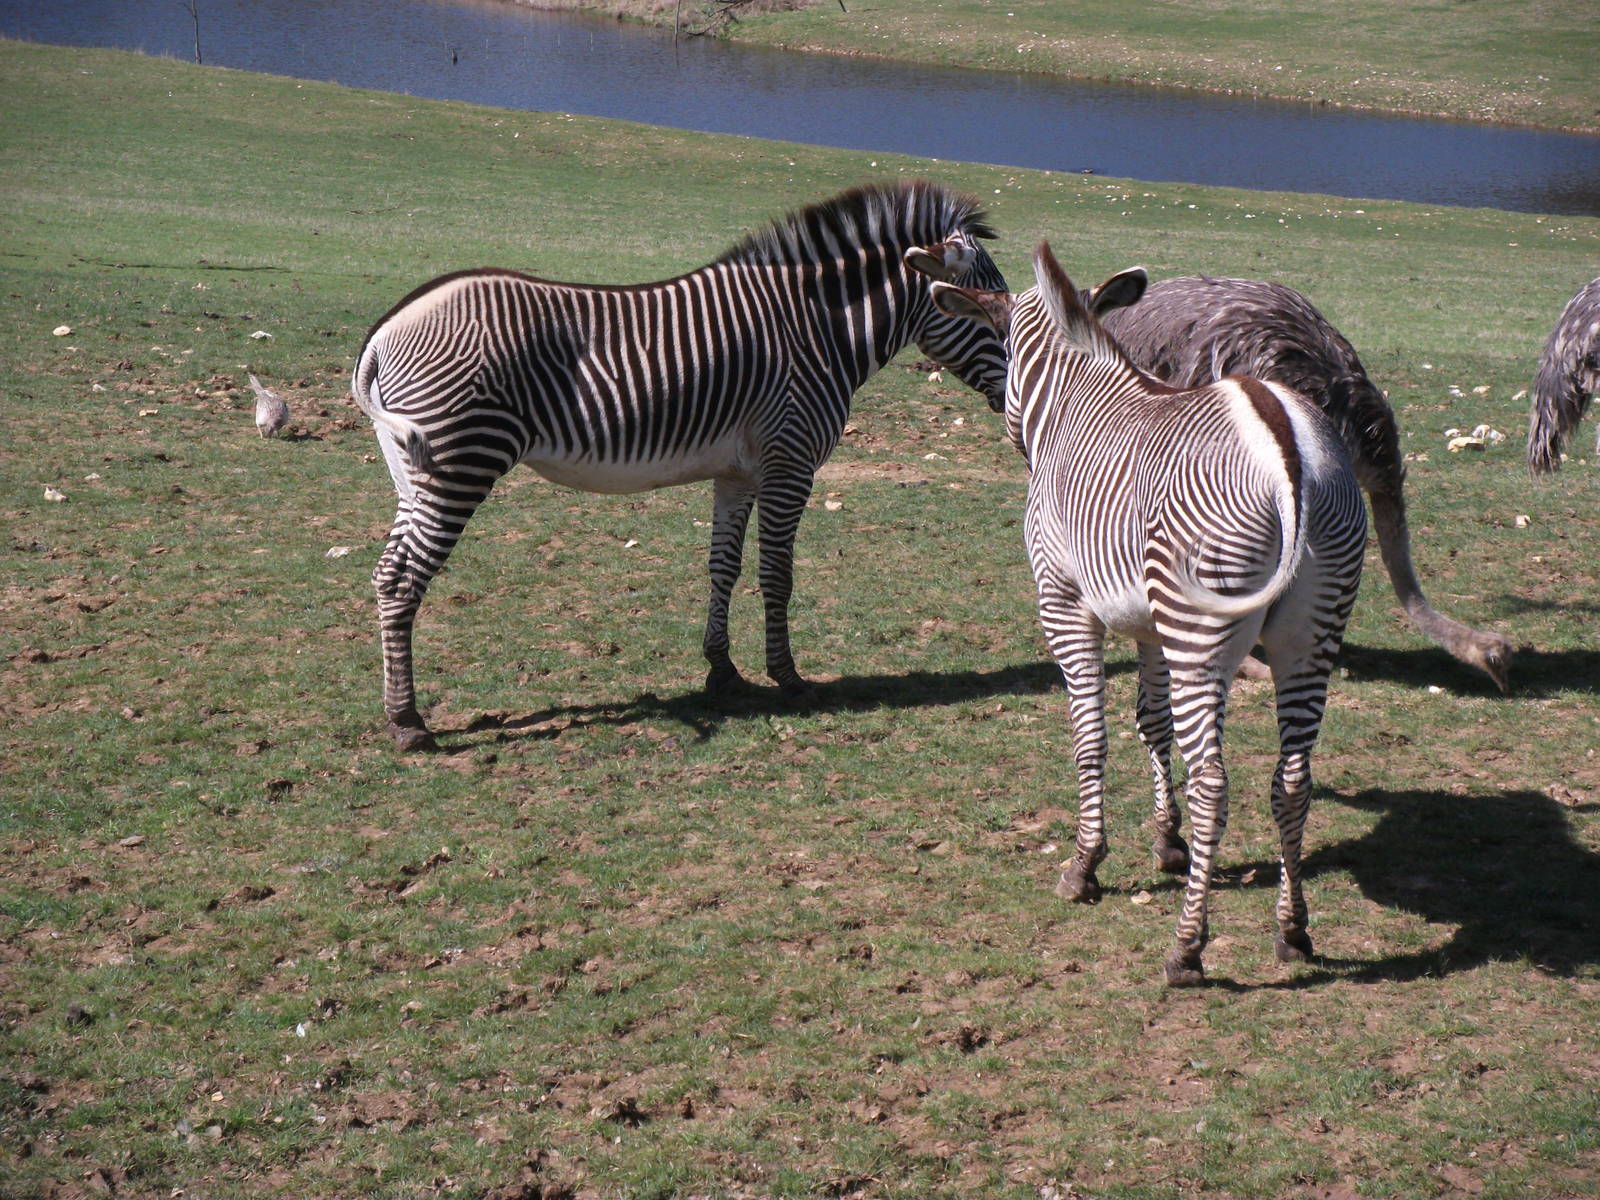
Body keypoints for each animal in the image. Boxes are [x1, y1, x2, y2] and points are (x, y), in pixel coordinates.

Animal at [352, 181, 1009, 750]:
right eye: (981, 310)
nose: (1013, 400)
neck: (818, 328)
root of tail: (384, 331)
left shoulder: (738, 473)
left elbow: (725, 568)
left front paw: (723, 671)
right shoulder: (790, 462)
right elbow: (778, 574)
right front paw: (788, 677)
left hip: (413, 471)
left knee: (386, 573)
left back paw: (398, 712)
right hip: (461, 463)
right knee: (404, 579)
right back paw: (409, 724)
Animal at [927, 243, 1367, 986]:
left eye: (1003, 351)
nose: (1004, 422)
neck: (1074, 401)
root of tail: (1289, 455)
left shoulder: (1065, 604)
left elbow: (1091, 735)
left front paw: (1085, 863)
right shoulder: (1151, 625)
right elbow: (1151, 724)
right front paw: (1167, 843)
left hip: (1202, 624)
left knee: (1216, 782)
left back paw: (1186, 948)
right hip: (1310, 632)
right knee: (1293, 778)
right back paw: (1293, 930)